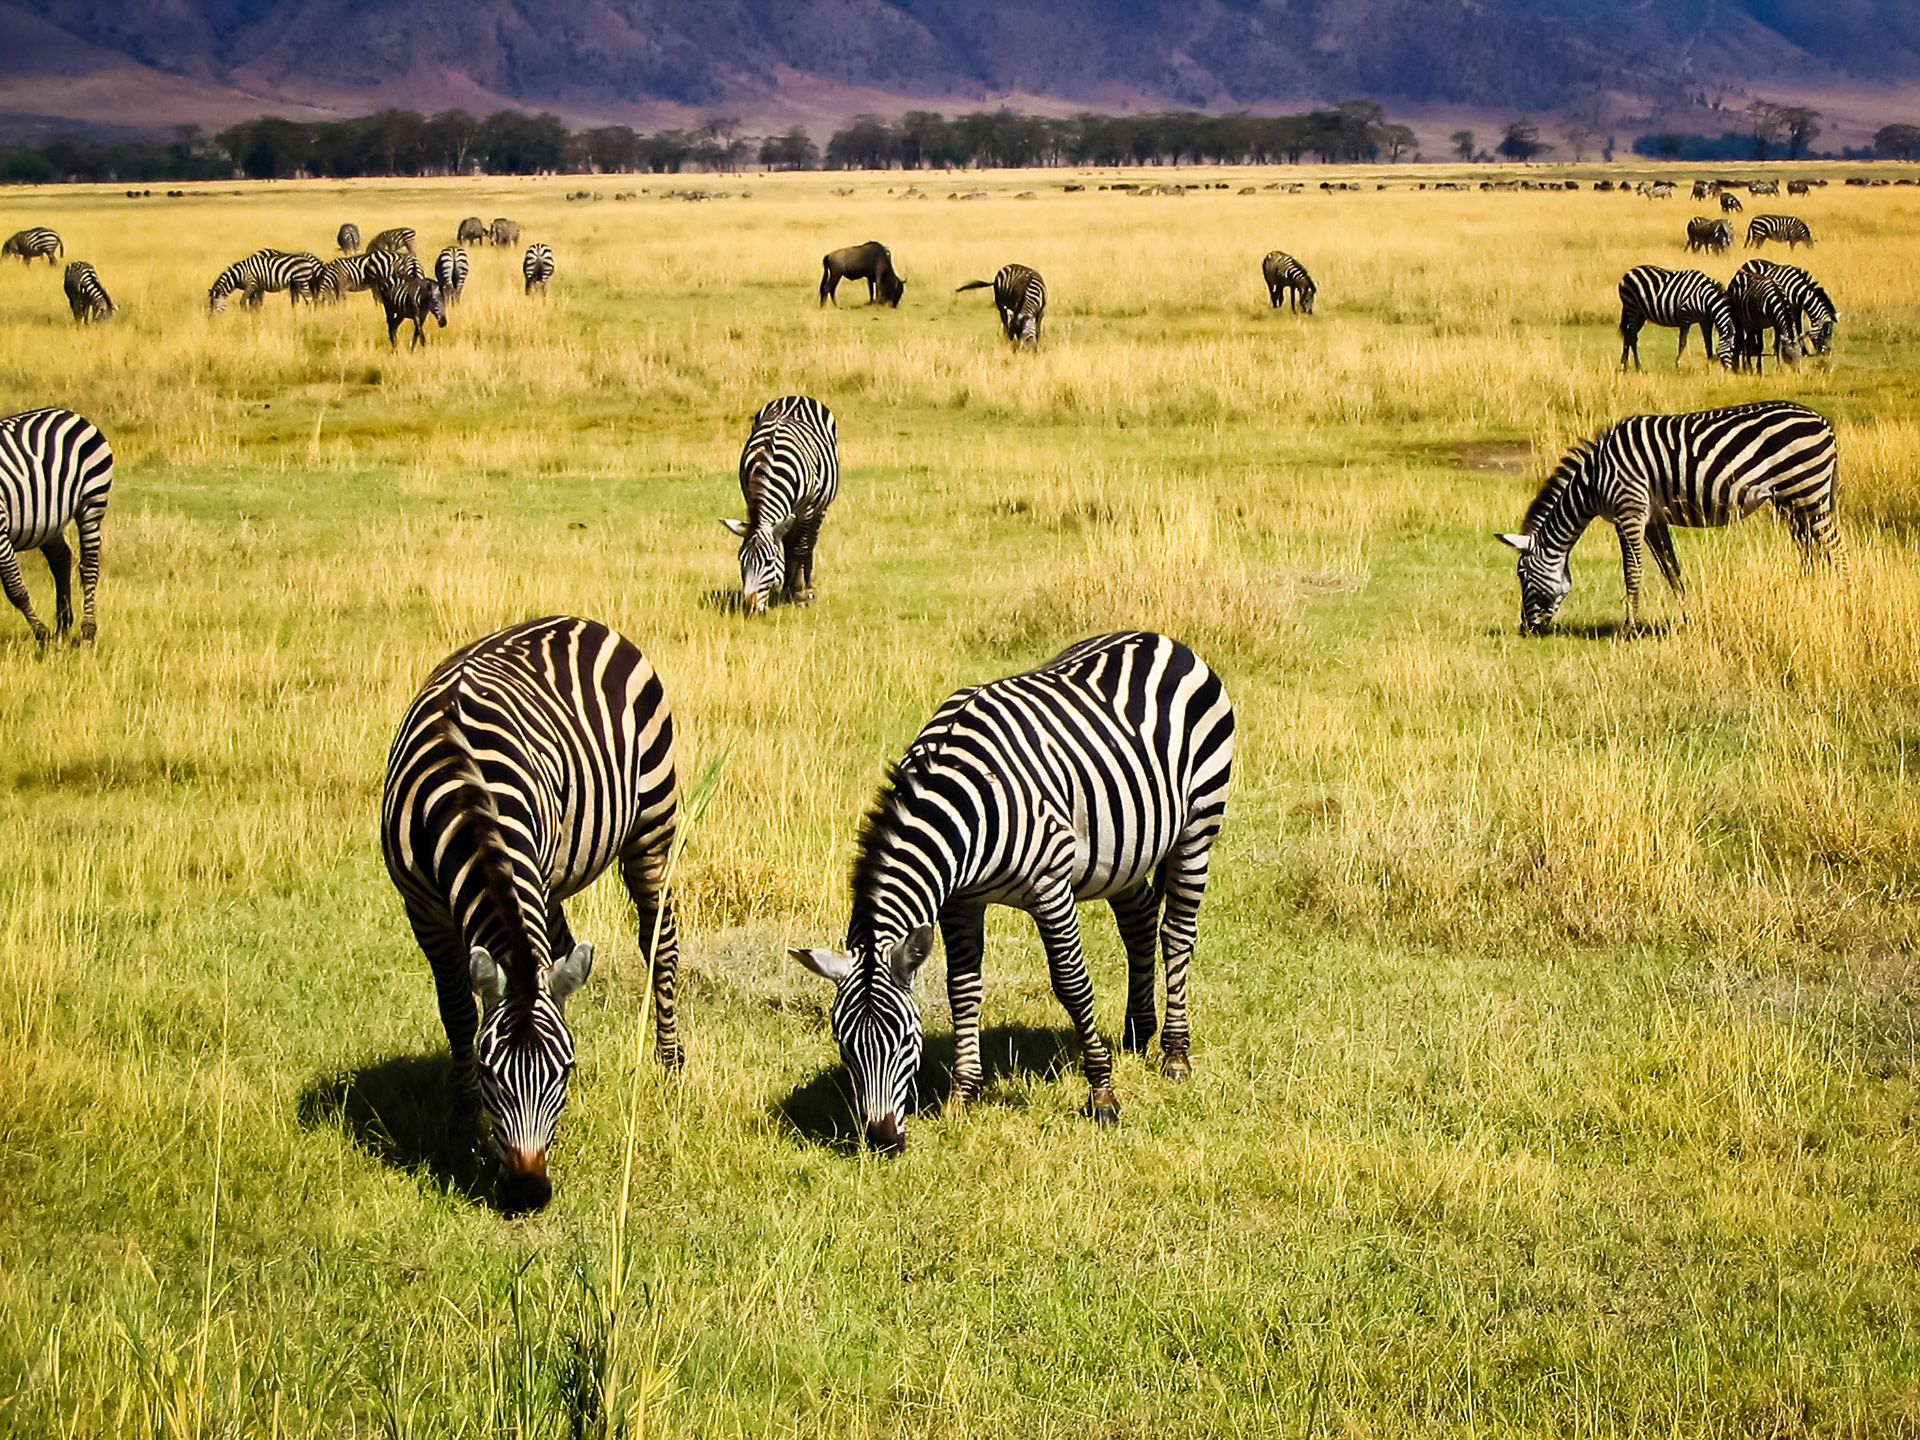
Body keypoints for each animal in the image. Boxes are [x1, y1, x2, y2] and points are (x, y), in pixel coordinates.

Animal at [0, 408, 113, 648]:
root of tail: (69, 413)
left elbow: (15, 589)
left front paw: (41, 635)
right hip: (48, 524)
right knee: (61, 558)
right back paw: (63, 627)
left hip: (92, 501)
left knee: (89, 566)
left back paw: (87, 633)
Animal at [381, 616, 682, 1211]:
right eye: (488, 1072)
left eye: (562, 1072)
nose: (528, 1192)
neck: (464, 794)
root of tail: (581, 619)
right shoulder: (422, 909)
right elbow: (457, 1008)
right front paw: (462, 1115)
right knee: (565, 951)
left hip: (651, 824)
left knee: (658, 940)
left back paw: (668, 1062)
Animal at [721, 395, 838, 614]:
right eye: (741, 560)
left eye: (768, 562)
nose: (750, 607)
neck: (770, 465)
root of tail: (797, 396)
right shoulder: (751, 498)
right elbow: (785, 545)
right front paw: (787, 589)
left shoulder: (806, 509)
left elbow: (799, 548)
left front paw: (799, 594)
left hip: (820, 506)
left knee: (809, 542)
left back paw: (807, 586)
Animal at [792, 630, 1234, 1152]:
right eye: (843, 1045)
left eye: (905, 1041)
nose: (882, 1140)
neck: (963, 804)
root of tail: (1160, 638)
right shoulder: (960, 902)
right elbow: (962, 989)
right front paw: (962, 1095)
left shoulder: (1050, 887)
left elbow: (1072, 985)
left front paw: (1102, 1095)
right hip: (1123, 851)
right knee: (1141, 920)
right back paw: (1135, 1034)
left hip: (1198, 825)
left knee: (1177, 934)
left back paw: (1175, 1054)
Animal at [1497, 401, 1842, 635]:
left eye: (1522, 575)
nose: (1526, 629)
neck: (1592, 481)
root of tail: (1823, 422)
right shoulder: (1652, 519)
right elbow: (1670, 569)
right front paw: (1690, 616)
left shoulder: (1629, 510)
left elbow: (1632, 571)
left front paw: (1629, 629)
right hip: (1791, 501)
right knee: (1811, 552)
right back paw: (1811, 598)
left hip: (1808, 492)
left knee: (1835, 550)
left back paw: (1842, 600)